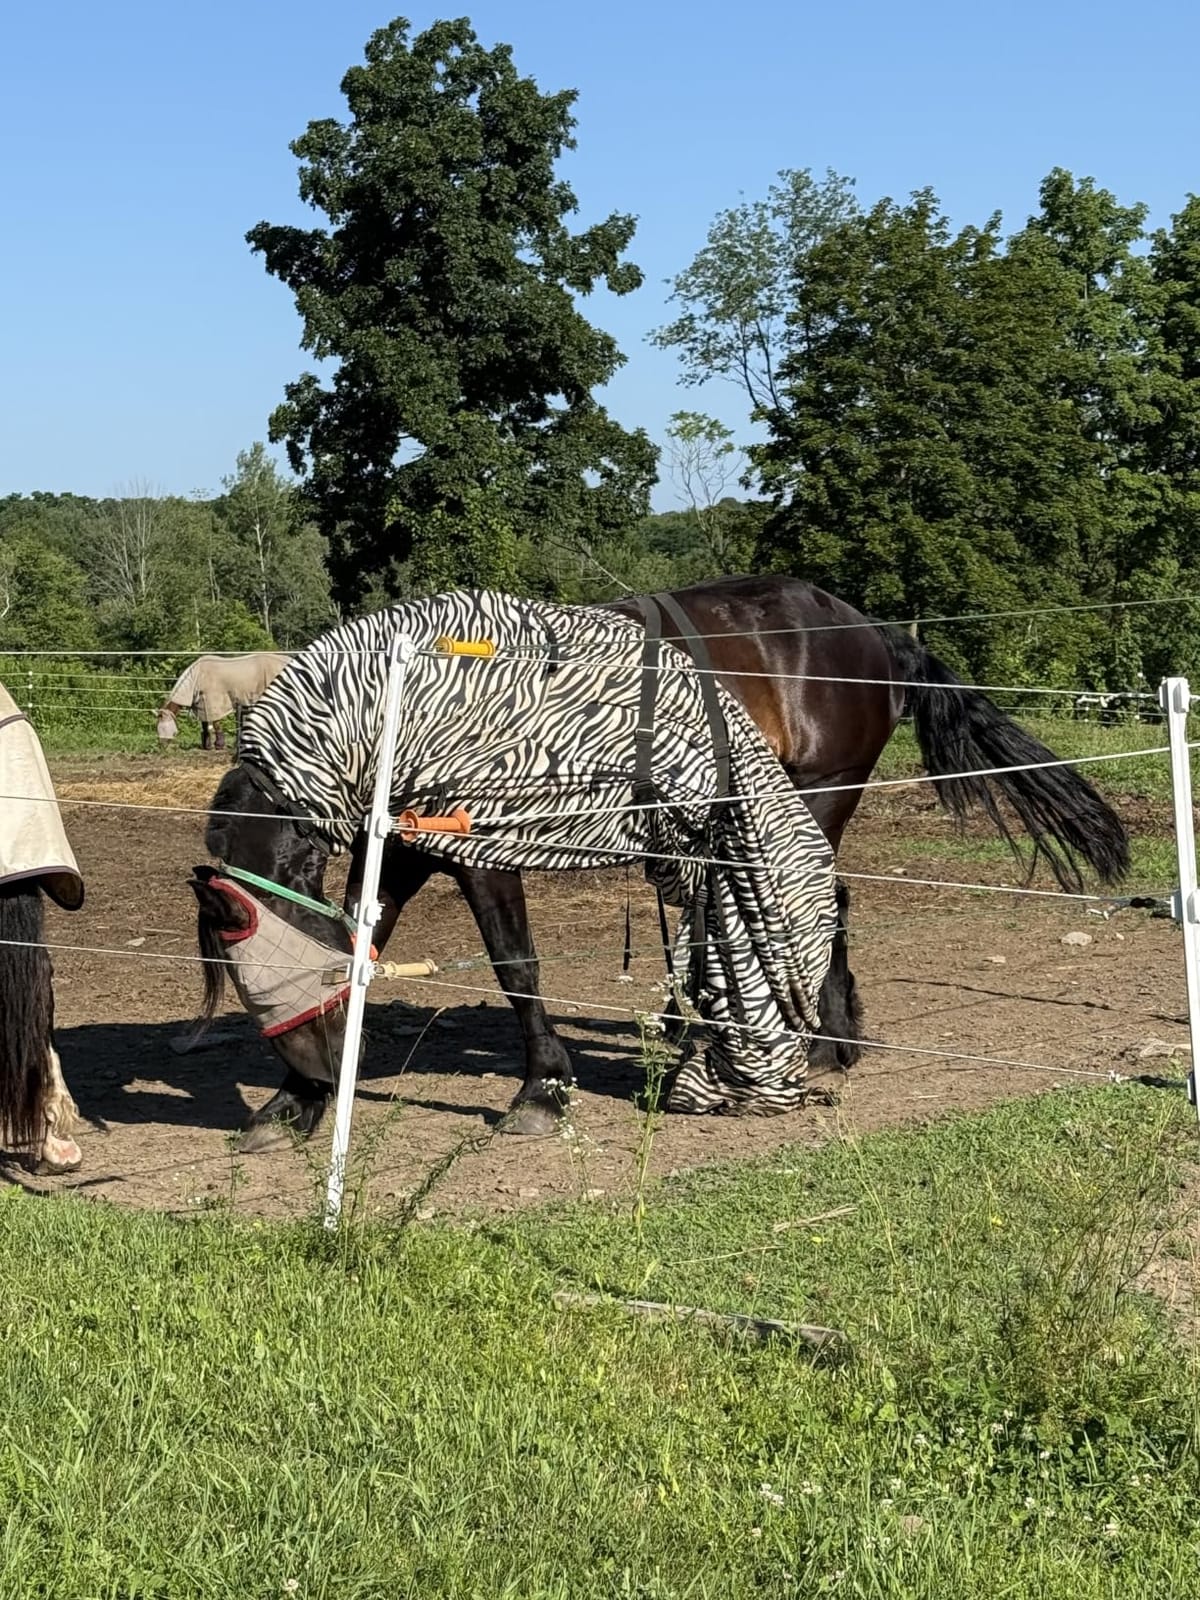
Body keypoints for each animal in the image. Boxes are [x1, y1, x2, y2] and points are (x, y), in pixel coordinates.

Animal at [189, 575, 1130, 1149]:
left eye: (285, 888)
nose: (311, 1069)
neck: (402, 704)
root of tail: (869, 631)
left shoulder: (481, 854)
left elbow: (515, 965)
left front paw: (542, 1092)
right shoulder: (410, 849)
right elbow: (365, 942)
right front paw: (296, 1101)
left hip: (813, 796)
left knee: (816, 904)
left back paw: (819, 1045)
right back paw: (828, 1041)